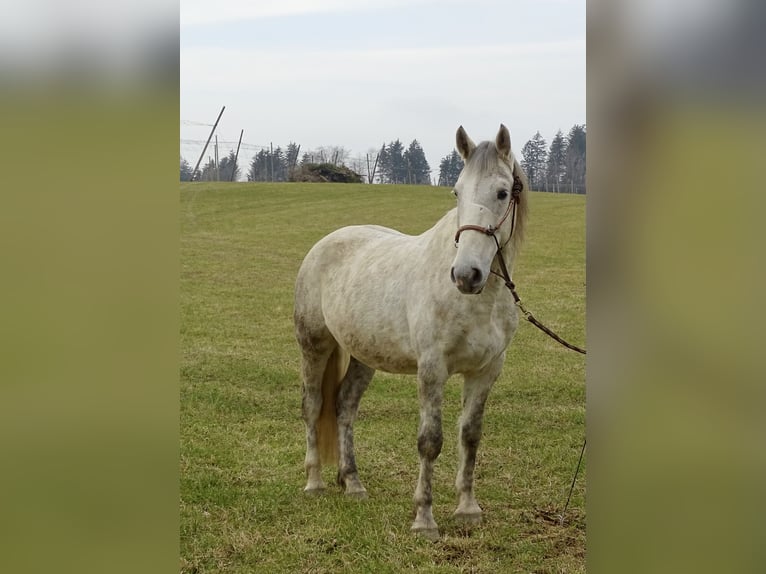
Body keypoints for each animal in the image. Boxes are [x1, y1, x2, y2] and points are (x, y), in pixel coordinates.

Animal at [294, 125, 528, 540]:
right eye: (457, 191)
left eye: (502, 193)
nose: (466, 275)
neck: (477, 302)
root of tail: (326, 242)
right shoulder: (432, 369)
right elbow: (430, 441)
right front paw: (424, 519)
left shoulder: (485, 371)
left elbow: (470, 435)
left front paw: (467, 509)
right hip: (314, 346)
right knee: (314, 405)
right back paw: (315, 482)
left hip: (362, 356)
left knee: (344, 407)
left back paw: (353, 483)